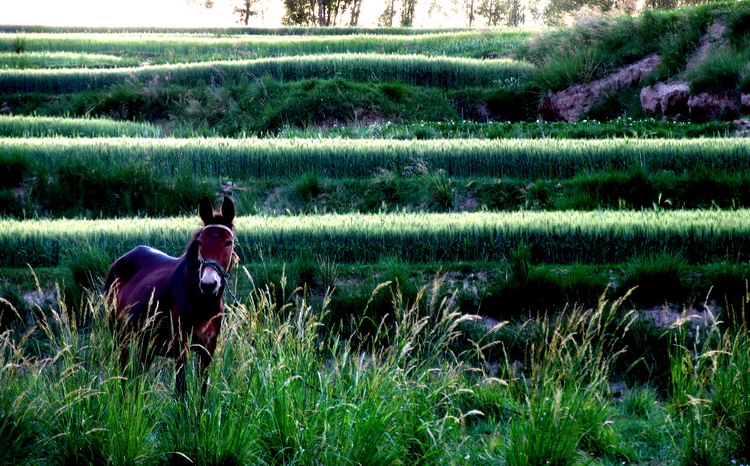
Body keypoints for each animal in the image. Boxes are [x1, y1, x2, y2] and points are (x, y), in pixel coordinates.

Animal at [104, 195, 236, 396]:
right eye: (200, 242)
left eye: (228, 242)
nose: (208, 284)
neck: (201, 302)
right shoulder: (181, 347)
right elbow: (181, 392)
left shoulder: (208, 349)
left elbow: (201, 392)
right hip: (120, 337)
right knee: (123, 374)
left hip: (145, 344)